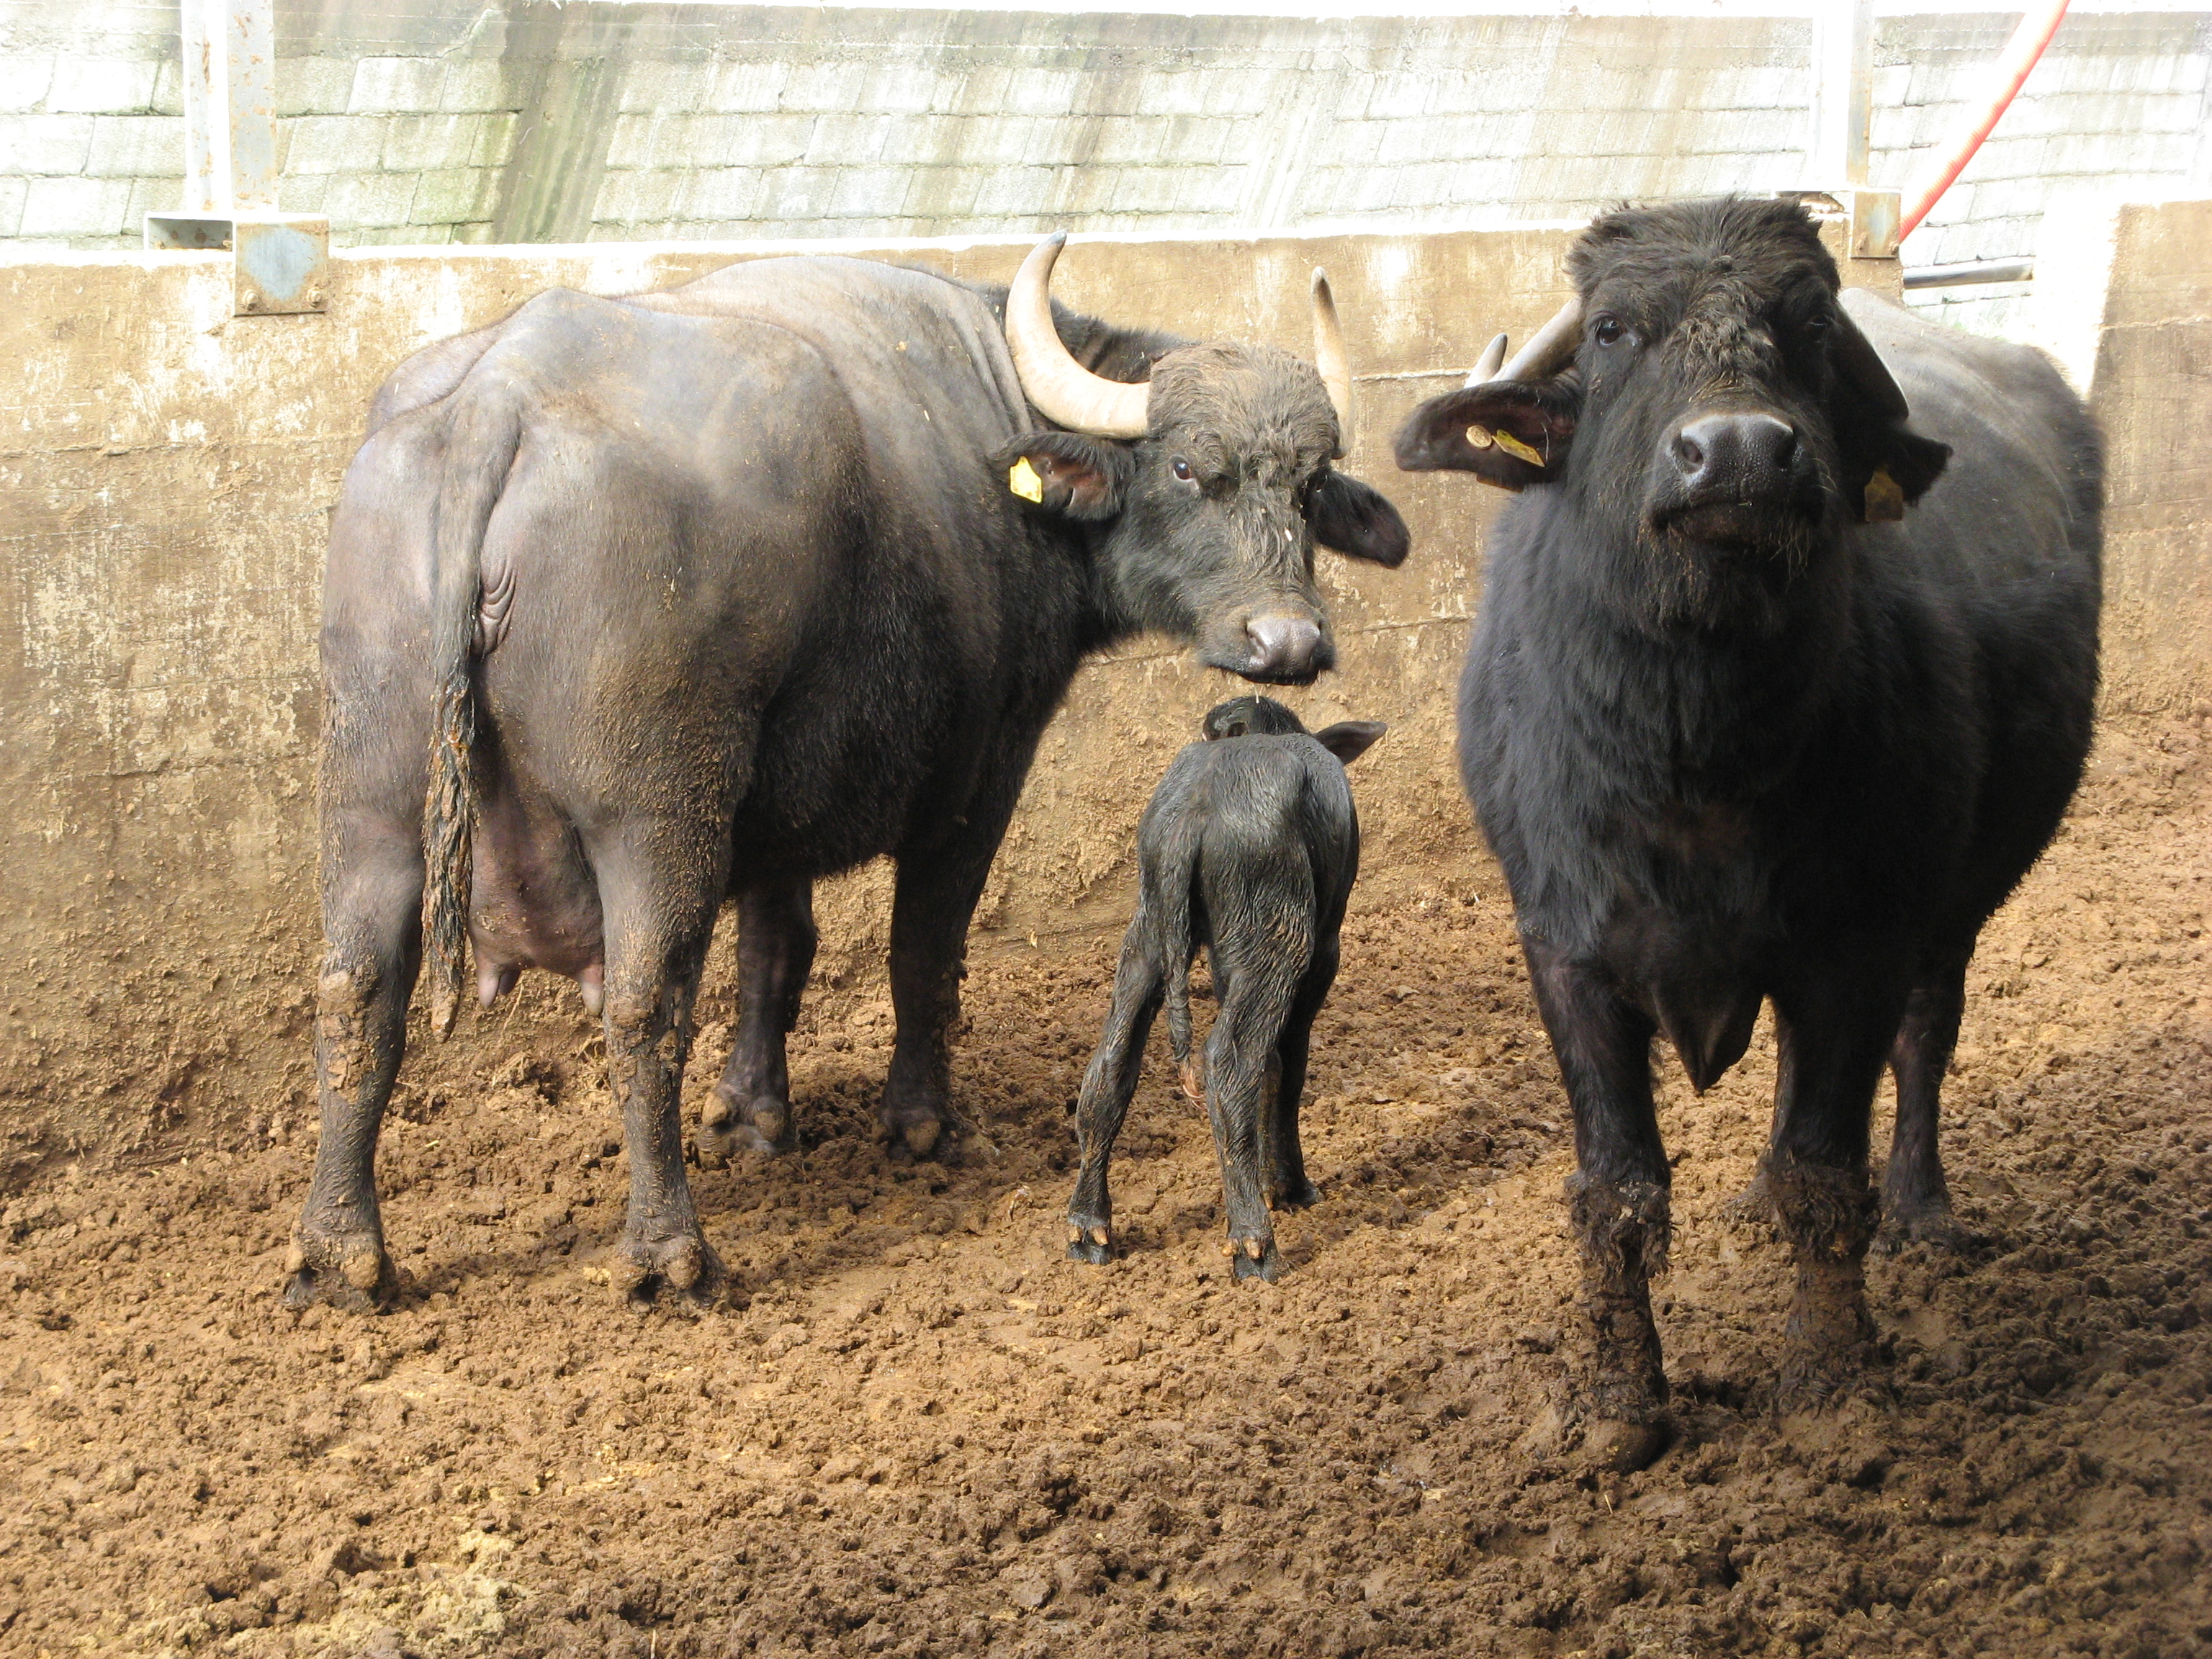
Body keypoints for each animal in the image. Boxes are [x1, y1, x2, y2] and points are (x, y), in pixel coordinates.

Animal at [1057, 694, 1380, 1282]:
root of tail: (1193, 817)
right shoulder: (1324, 948)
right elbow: (1288, 1064)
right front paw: (1289, 1189)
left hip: (1149, 931)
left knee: (1111, 1062)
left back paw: (1089, 1228)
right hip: (1277, 933)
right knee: (1232, 1062)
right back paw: (1256, 1245)